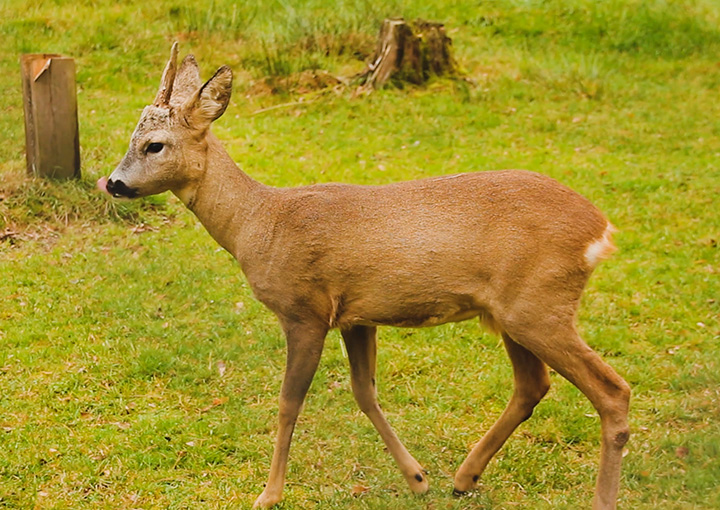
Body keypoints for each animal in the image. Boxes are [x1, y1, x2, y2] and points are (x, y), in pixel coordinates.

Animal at [98, 44, 628, 510]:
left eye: (154, 145)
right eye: (132, 140)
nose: (115, 184)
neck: (261, 224)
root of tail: (600, 229)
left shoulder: (305, 310)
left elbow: (289, 402)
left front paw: (269, 494)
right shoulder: (356, 315)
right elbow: (364, 391)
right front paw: (417, 479)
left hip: (539, 304)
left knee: (611, 390)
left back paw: (597, 497)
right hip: (511, 313)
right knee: (532, 385)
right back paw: (463, 478)